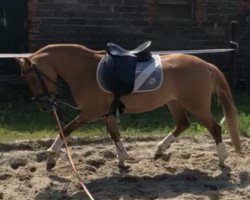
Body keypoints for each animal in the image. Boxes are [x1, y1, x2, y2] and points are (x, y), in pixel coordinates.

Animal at [16, 43, 240, 170]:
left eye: (32, 78)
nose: (45, 107)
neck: (85, 70)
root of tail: (205, 65)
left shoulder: (90, 112)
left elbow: (65, 130)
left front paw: (51, 158)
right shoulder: (106, 113)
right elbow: (115, 134)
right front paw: (123, 160)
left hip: (197, 105)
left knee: (215, 128)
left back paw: (222, 159)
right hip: (174, 102)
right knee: (183, 124)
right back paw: (159, 150)